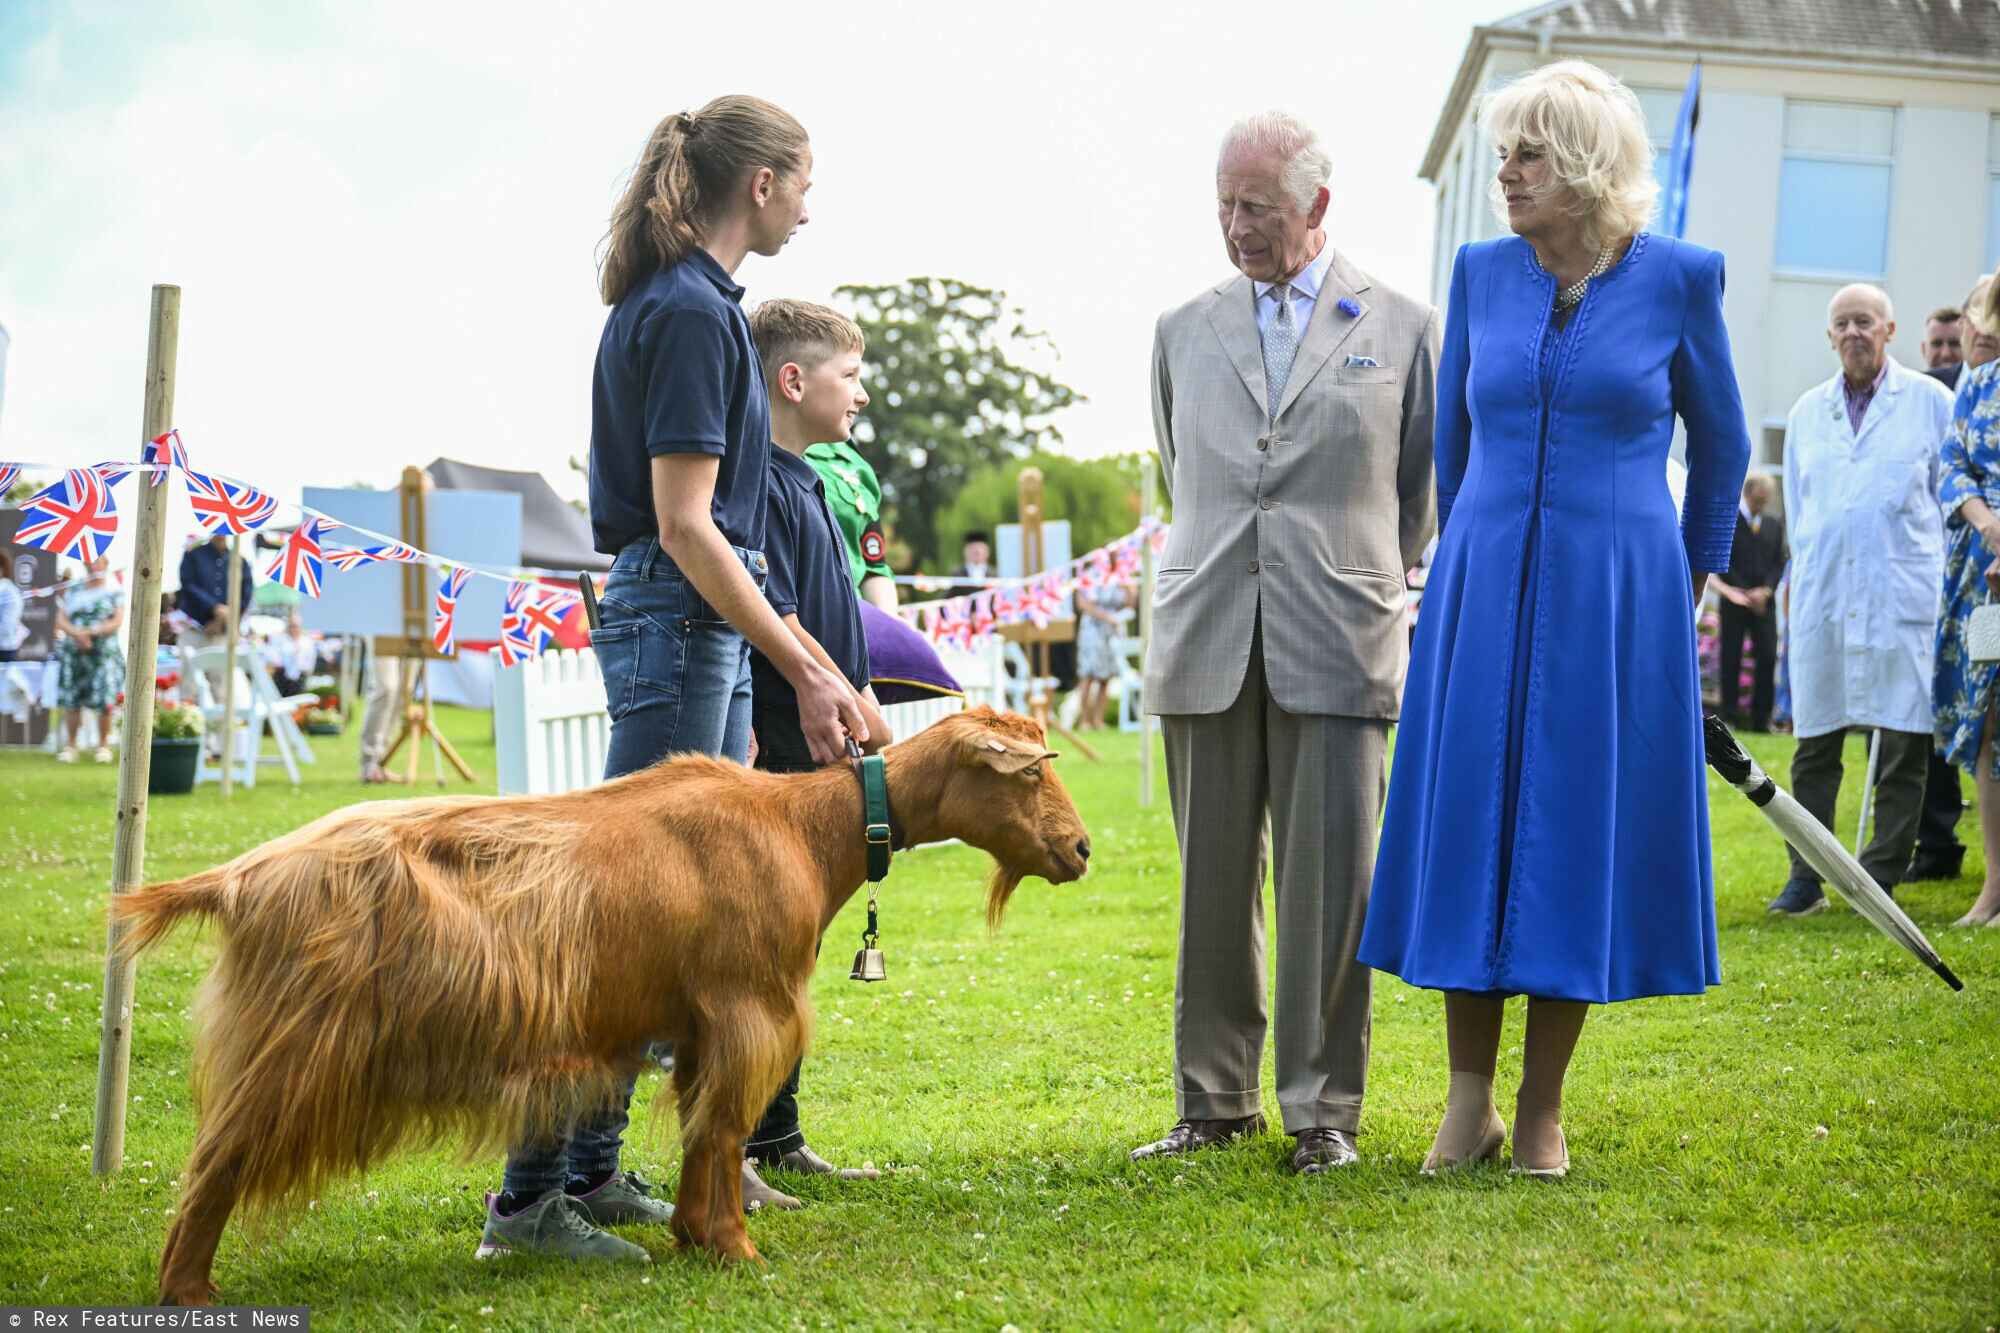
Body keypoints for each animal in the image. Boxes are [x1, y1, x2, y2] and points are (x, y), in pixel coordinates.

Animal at [117, 704, 1088, 1296]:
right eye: (1029, 773)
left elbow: (701, 1128)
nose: (1079, 849)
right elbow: (726, 1125)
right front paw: (736, 1248)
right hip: (298, 1046)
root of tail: (238, 879)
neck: (804, 829)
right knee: (215, 1161)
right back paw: (189, 1288)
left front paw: (695, 1234)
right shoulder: (750, 1010)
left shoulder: (697, 1024)